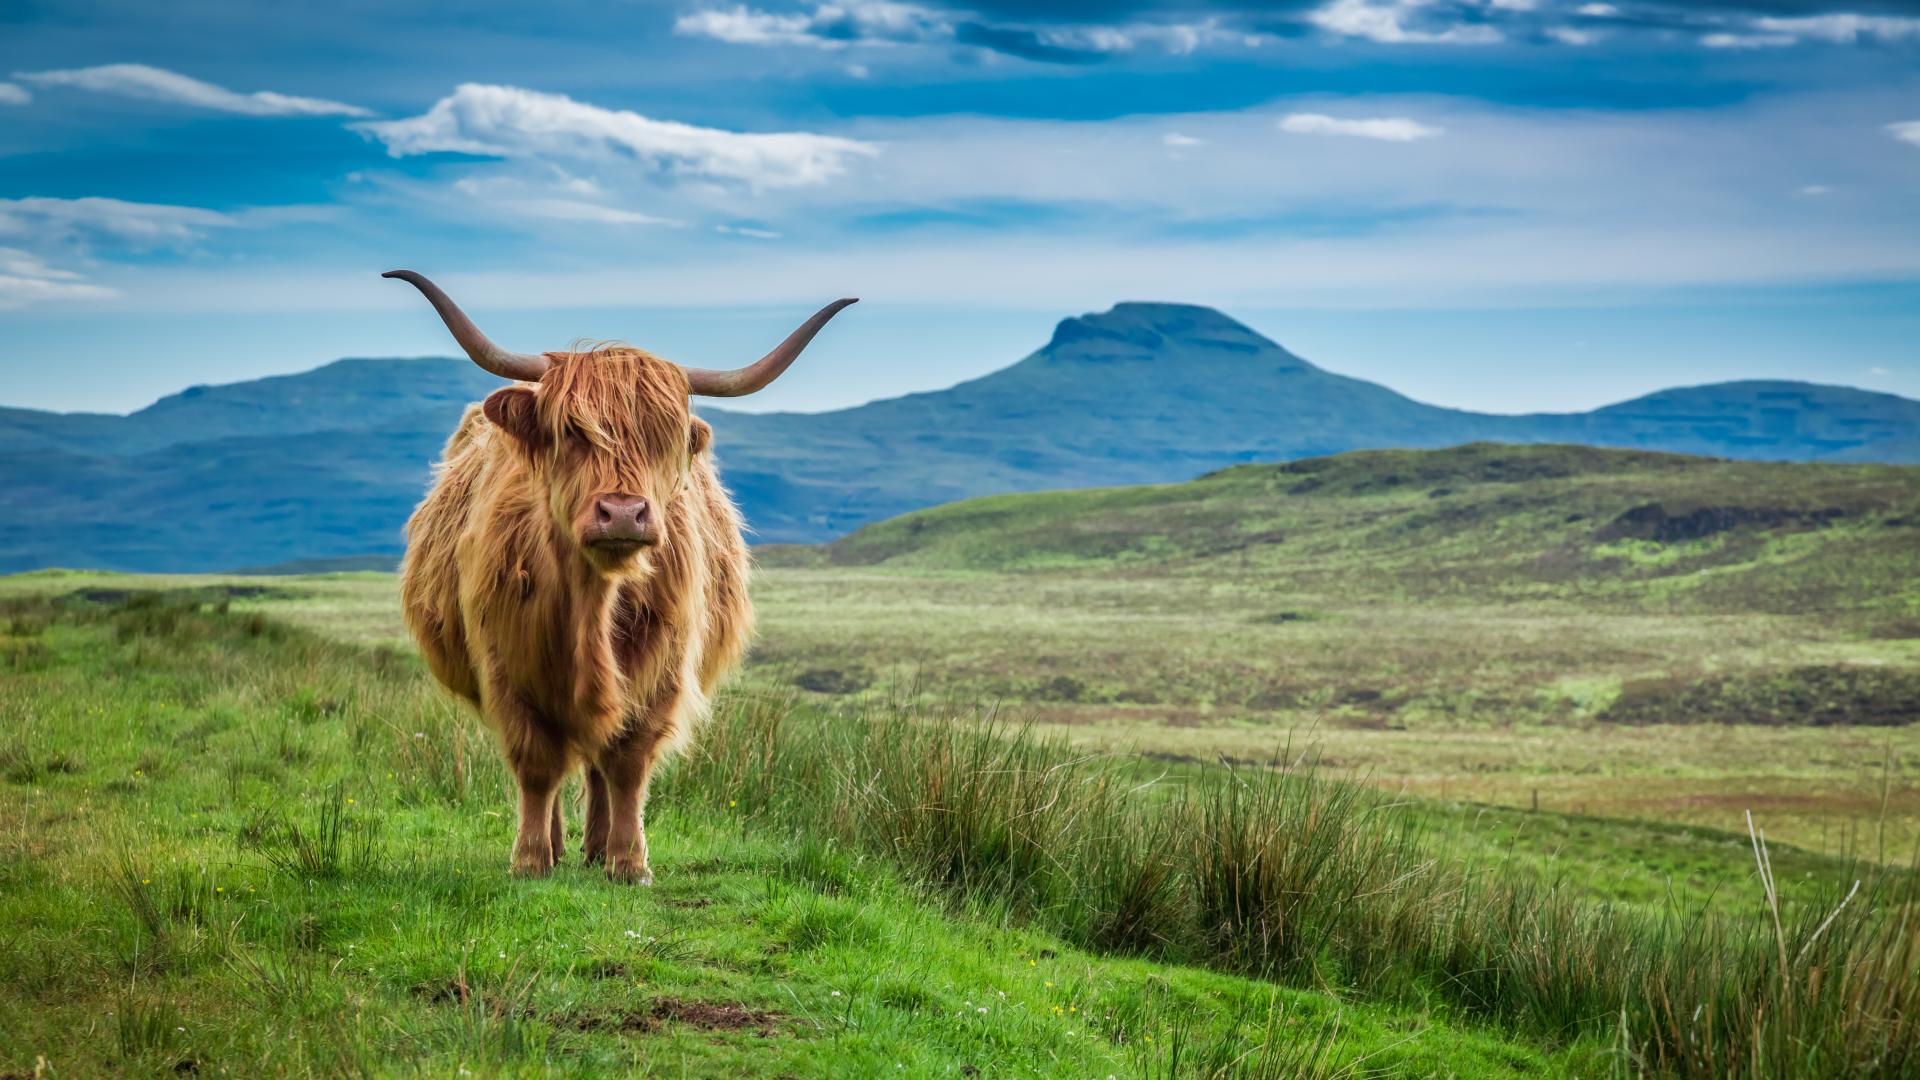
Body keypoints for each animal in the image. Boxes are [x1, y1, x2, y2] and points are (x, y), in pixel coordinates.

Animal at [384, 270, 855, 883]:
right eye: (571, 432)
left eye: (664, 437)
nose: (625, 513)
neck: (594, 603)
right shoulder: (506, 666)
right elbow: (537, 764)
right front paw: (531, 859)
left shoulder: (662, 670)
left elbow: (627, 763)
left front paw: (629, 862)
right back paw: (561, 844)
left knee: (598, 763)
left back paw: (596, 846)